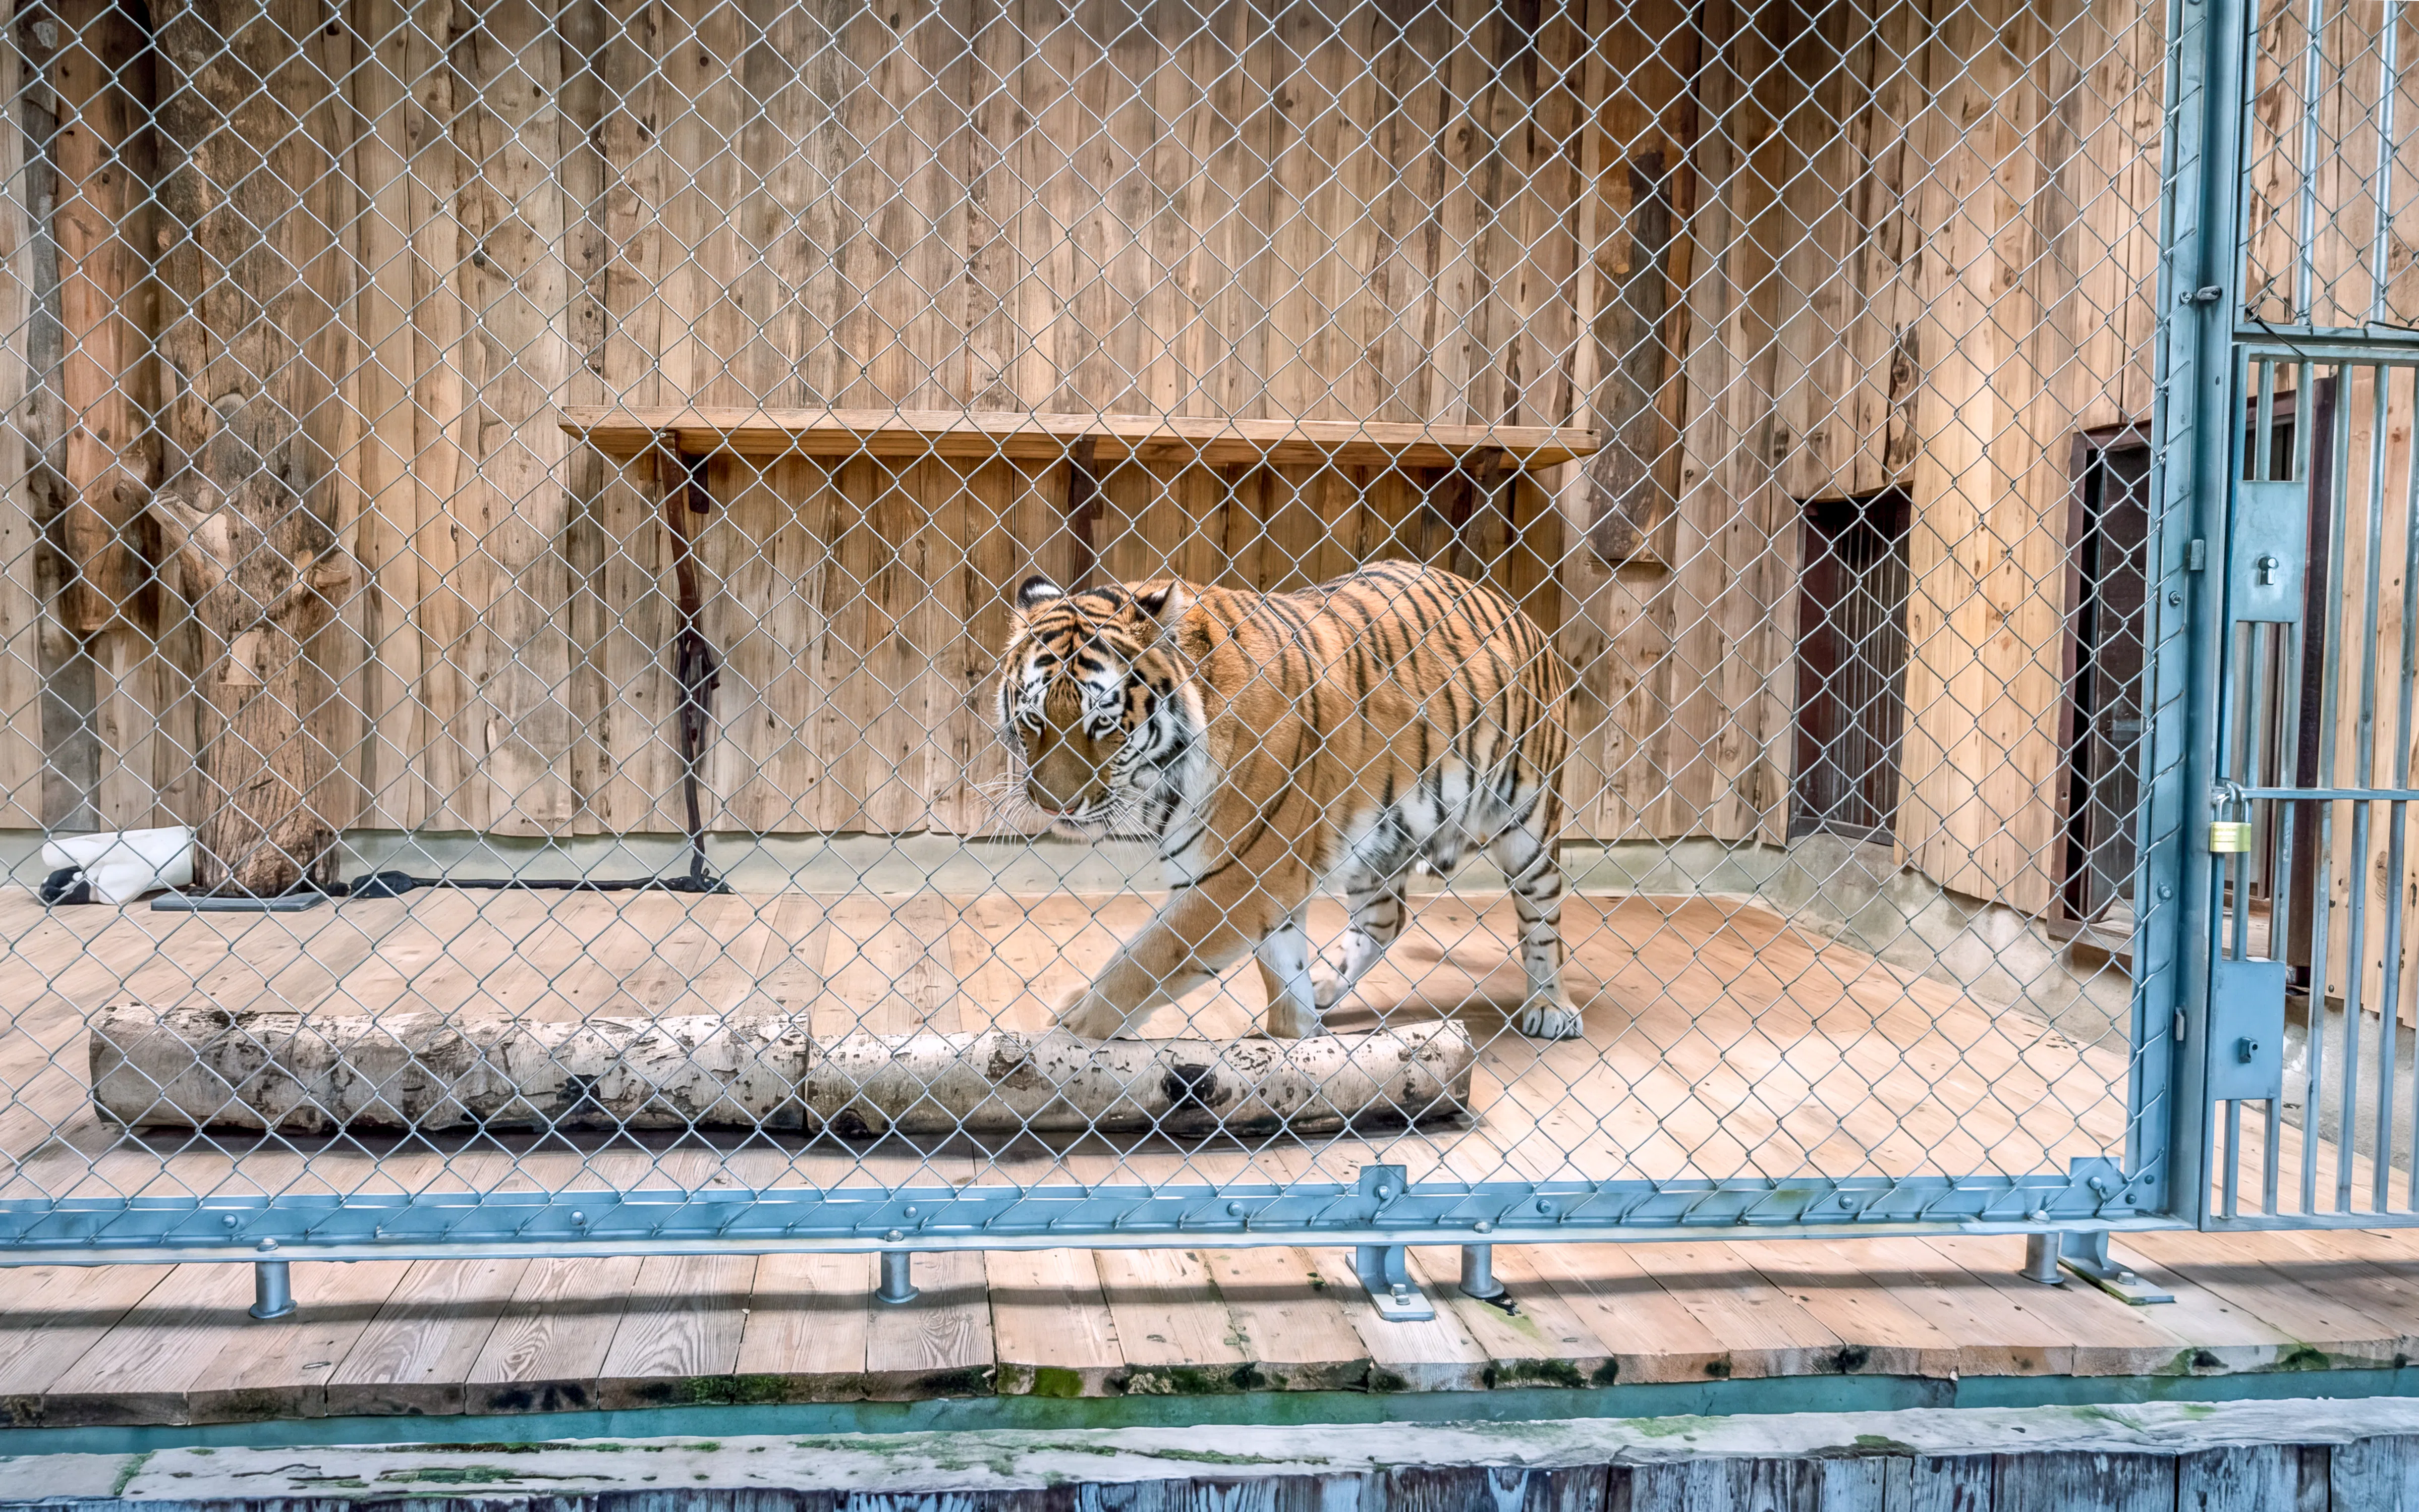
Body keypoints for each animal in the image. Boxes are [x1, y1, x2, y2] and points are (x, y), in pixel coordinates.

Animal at [996, 559, 1579, 1042]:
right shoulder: (1268, 880)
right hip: (1378, 842)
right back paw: (1326, 992)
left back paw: (1550, 1008)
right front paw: (1298, 1039)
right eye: (1034, 718)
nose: (1054, 807)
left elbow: (1146, 958)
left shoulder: (1240, 874)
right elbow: (1284, 971)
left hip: (1527, 821)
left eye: (1103, 723)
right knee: (1384, 920)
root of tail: (1512, 605)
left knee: (1543, 918)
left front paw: (1070, 1025)